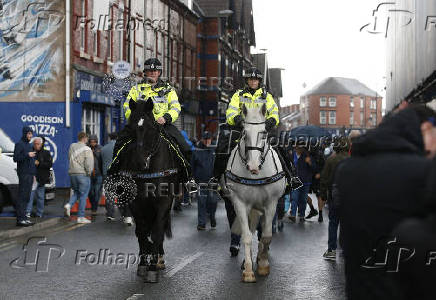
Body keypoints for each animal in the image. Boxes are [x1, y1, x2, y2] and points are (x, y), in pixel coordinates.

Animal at [112, 99, 182, 284]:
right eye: (131, 128)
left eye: (151, 129)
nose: (140, 162)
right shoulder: (137, 203)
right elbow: (142, 233)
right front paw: (144, 264)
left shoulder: (163, 202)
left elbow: (157, 232)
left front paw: (152, 268)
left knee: (160, 227)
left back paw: (159, 260)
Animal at [221, 103, 286, 284]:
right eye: (244, 133)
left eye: (264, 133)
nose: (253, 166)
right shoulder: (240, 203)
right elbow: (247, 236)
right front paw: (249, 271)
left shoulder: (271, 203)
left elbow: (267, 235)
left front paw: (263, 265)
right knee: (250, 230)